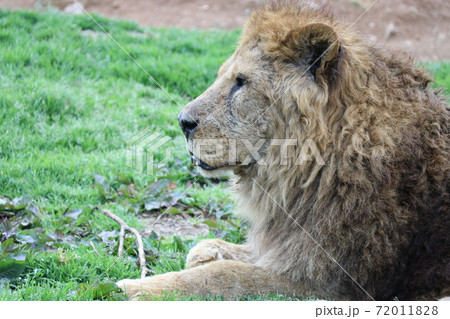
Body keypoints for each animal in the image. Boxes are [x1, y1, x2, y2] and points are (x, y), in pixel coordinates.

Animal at [118, 0, 450, 302]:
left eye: (241, 82)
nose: (182, 121)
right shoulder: (287, 244)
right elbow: (221, 250)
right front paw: (206, 252)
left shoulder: (328, 285)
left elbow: (222, 276)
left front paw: (134, 289)